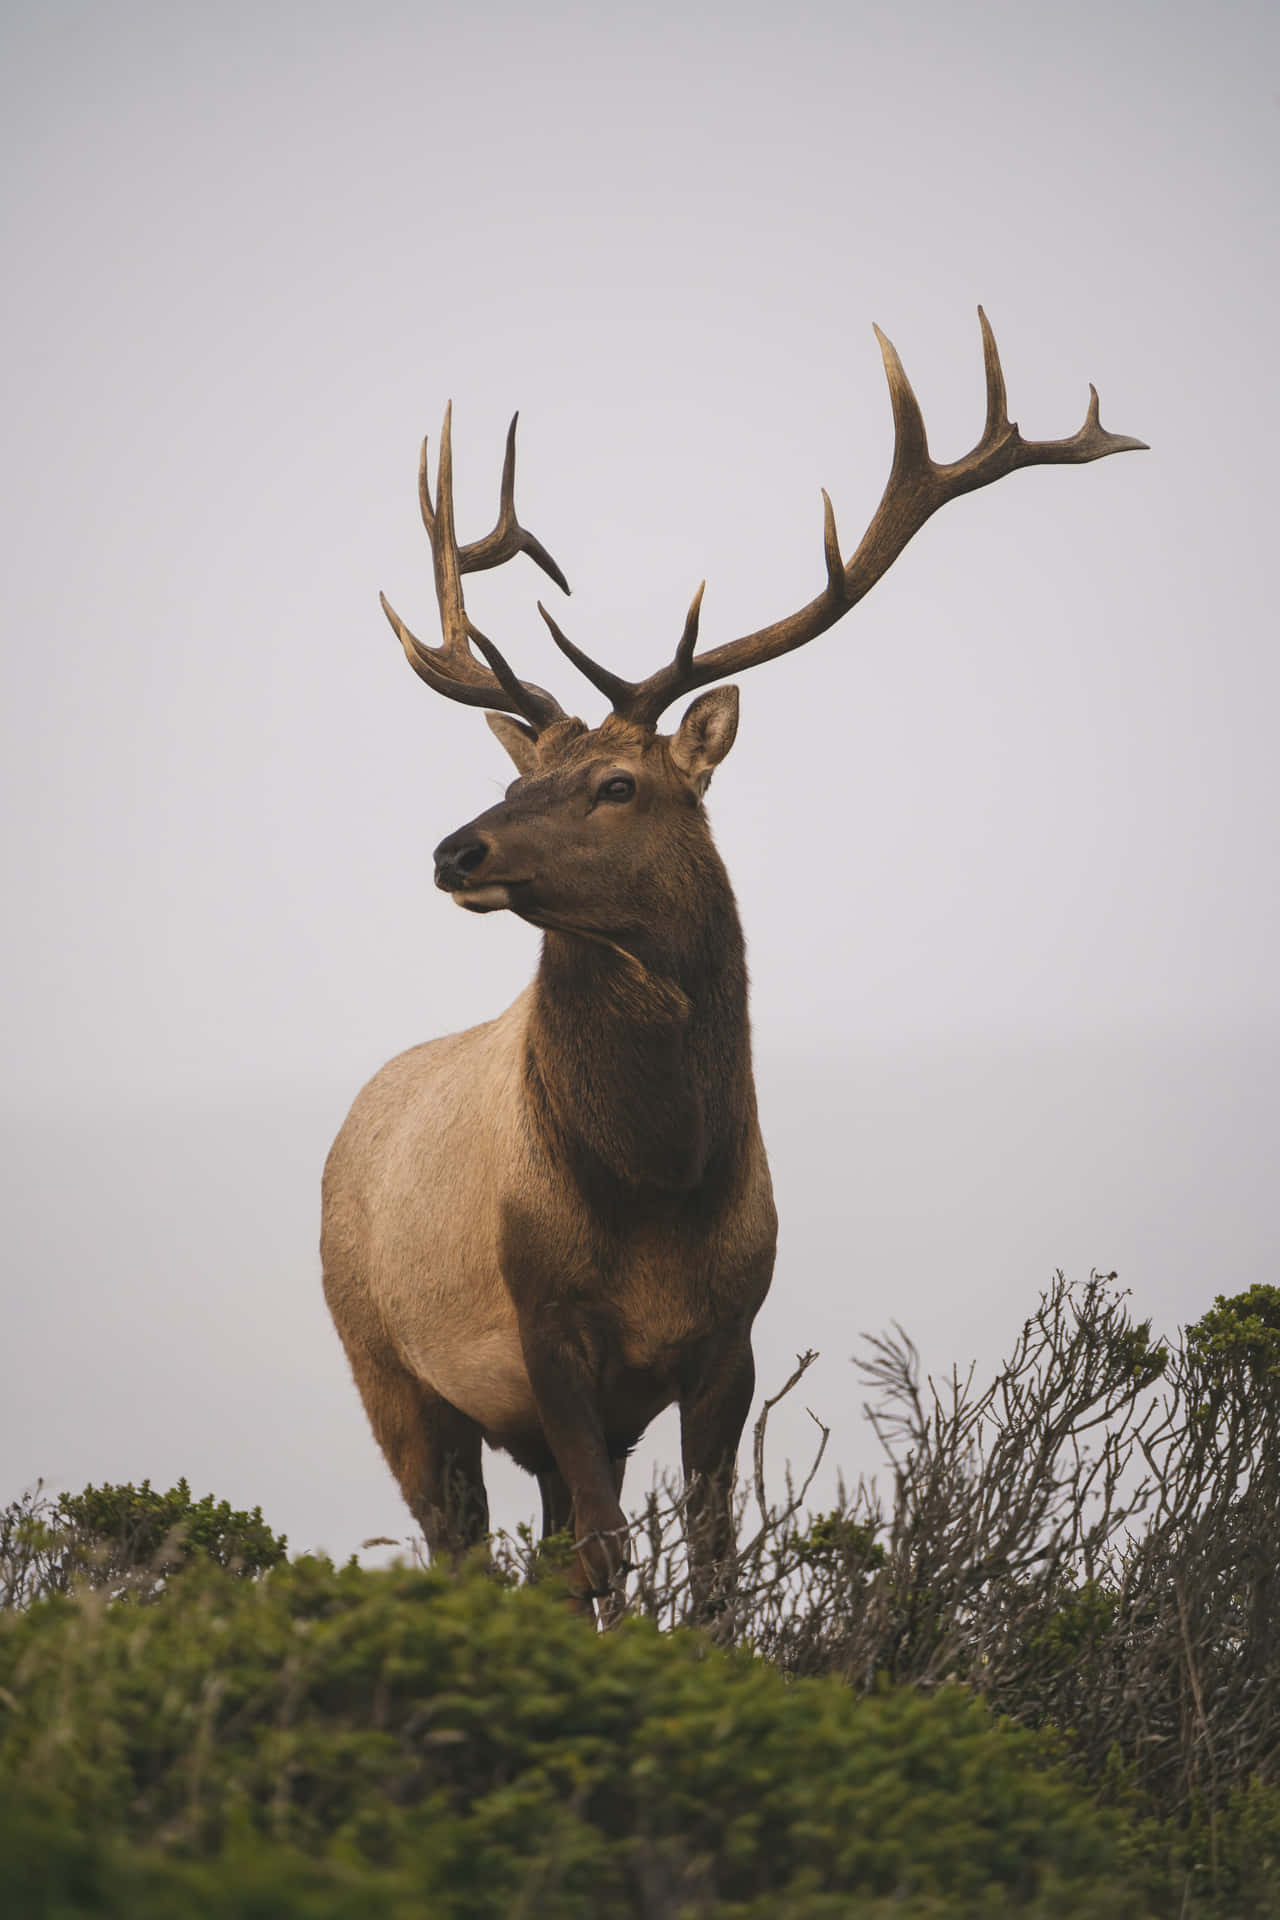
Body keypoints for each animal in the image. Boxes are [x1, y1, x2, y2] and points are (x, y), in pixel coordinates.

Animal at [326, 311, 1143, 1605]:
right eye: (519, 775)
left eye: (617, 783)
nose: (456, 849)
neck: (658, 1185)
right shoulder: (542, 1327)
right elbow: (607, 1554)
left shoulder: (730, 1338)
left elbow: (708, 1558)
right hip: (385, 1365)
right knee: (464, 1547)